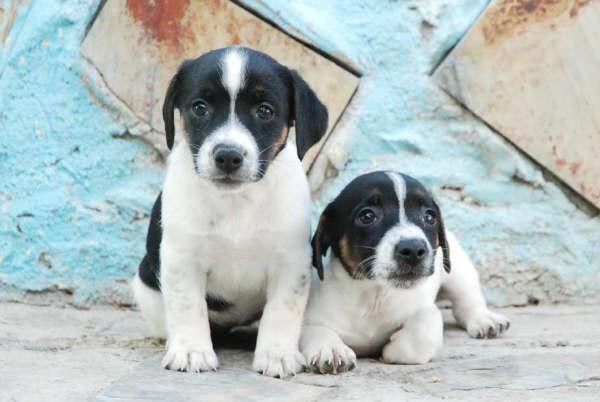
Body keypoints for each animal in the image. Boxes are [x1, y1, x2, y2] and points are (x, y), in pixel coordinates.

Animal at [132, 46, 328, 376]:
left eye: (265, 111)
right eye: (199, 108)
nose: (227, 156)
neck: (237, 202)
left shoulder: (291, 262)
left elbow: (282, 310)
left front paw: (277, 354)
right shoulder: (182, 259)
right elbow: (188, 306)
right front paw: (191, 351)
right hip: (145, 281)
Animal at [302, 171, 508, 372]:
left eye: (429, 217)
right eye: (367, 216)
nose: (414, 249)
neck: (374, 296)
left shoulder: (425, 308)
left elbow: (425, 330)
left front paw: (393, 349)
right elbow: (317, 330)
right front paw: (331, 349)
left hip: (459, 273)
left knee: (468, 301)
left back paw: (484, 319)